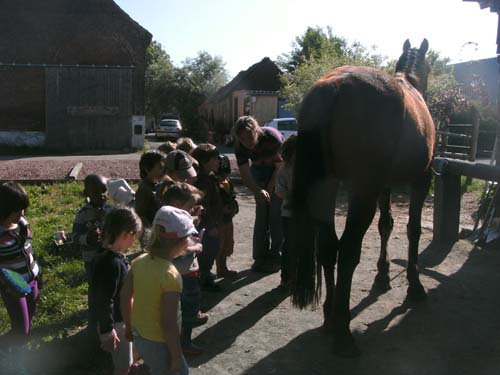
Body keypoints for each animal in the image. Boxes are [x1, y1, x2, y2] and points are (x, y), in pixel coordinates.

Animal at [292, 40, 436, 358]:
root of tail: (333, 86)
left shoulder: (385, 186)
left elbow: (387, 225)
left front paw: (383, 276)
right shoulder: (422, 180)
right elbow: (414, 230)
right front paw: (414, 285)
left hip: (328, 186)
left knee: (328, 247)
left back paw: (330, 316)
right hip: (362, 191)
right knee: (347, 252)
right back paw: (344, 334)